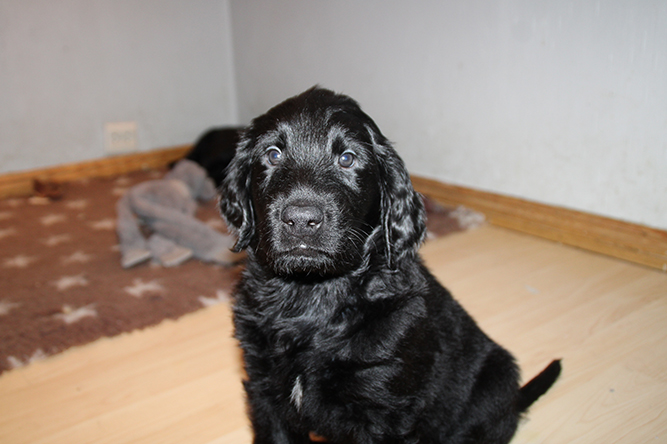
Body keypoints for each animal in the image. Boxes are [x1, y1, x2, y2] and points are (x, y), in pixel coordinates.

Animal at [219, 87, 560, 444]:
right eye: (272, 154)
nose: (301, 219)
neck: (313, 295)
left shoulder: (381, 410)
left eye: (347, 159)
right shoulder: (266, 391)